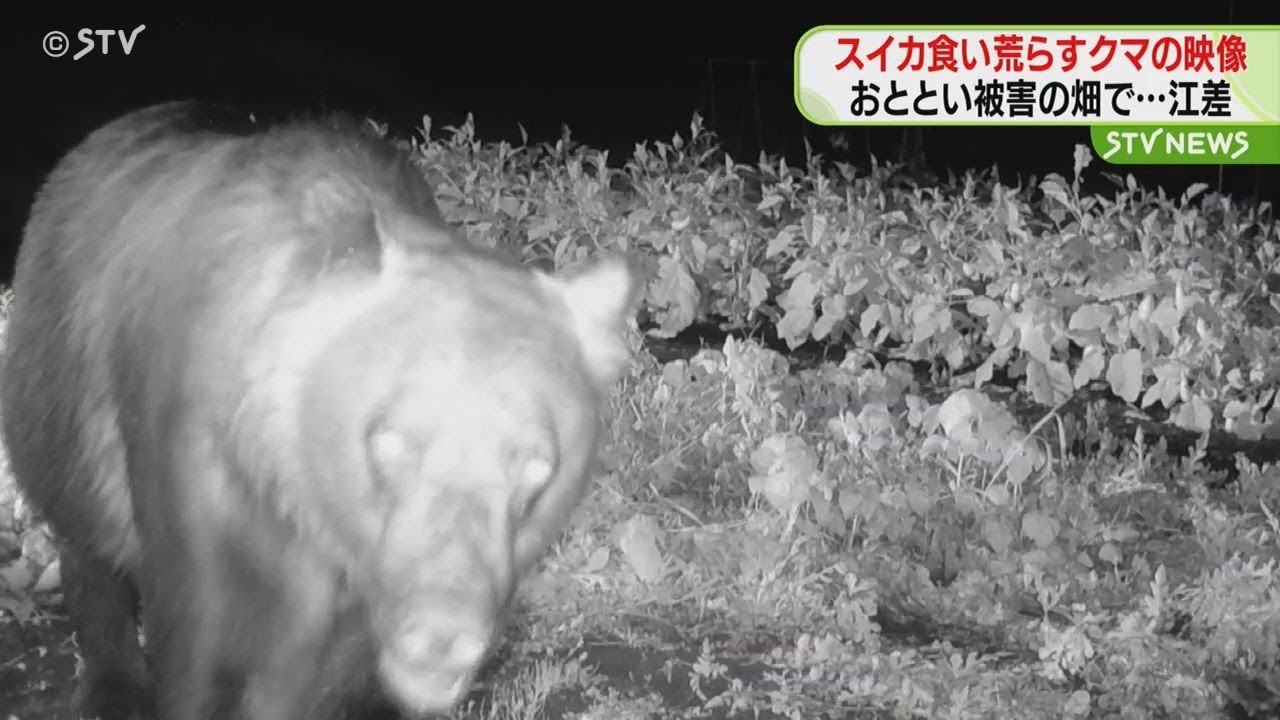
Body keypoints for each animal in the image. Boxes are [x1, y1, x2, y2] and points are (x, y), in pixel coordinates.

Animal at [0, 101, 639, 720]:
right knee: (88, 539)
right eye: (390, 441)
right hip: (57, 393)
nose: (442, 633)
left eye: (535, 465)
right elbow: (202, 645)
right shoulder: (194, 468)